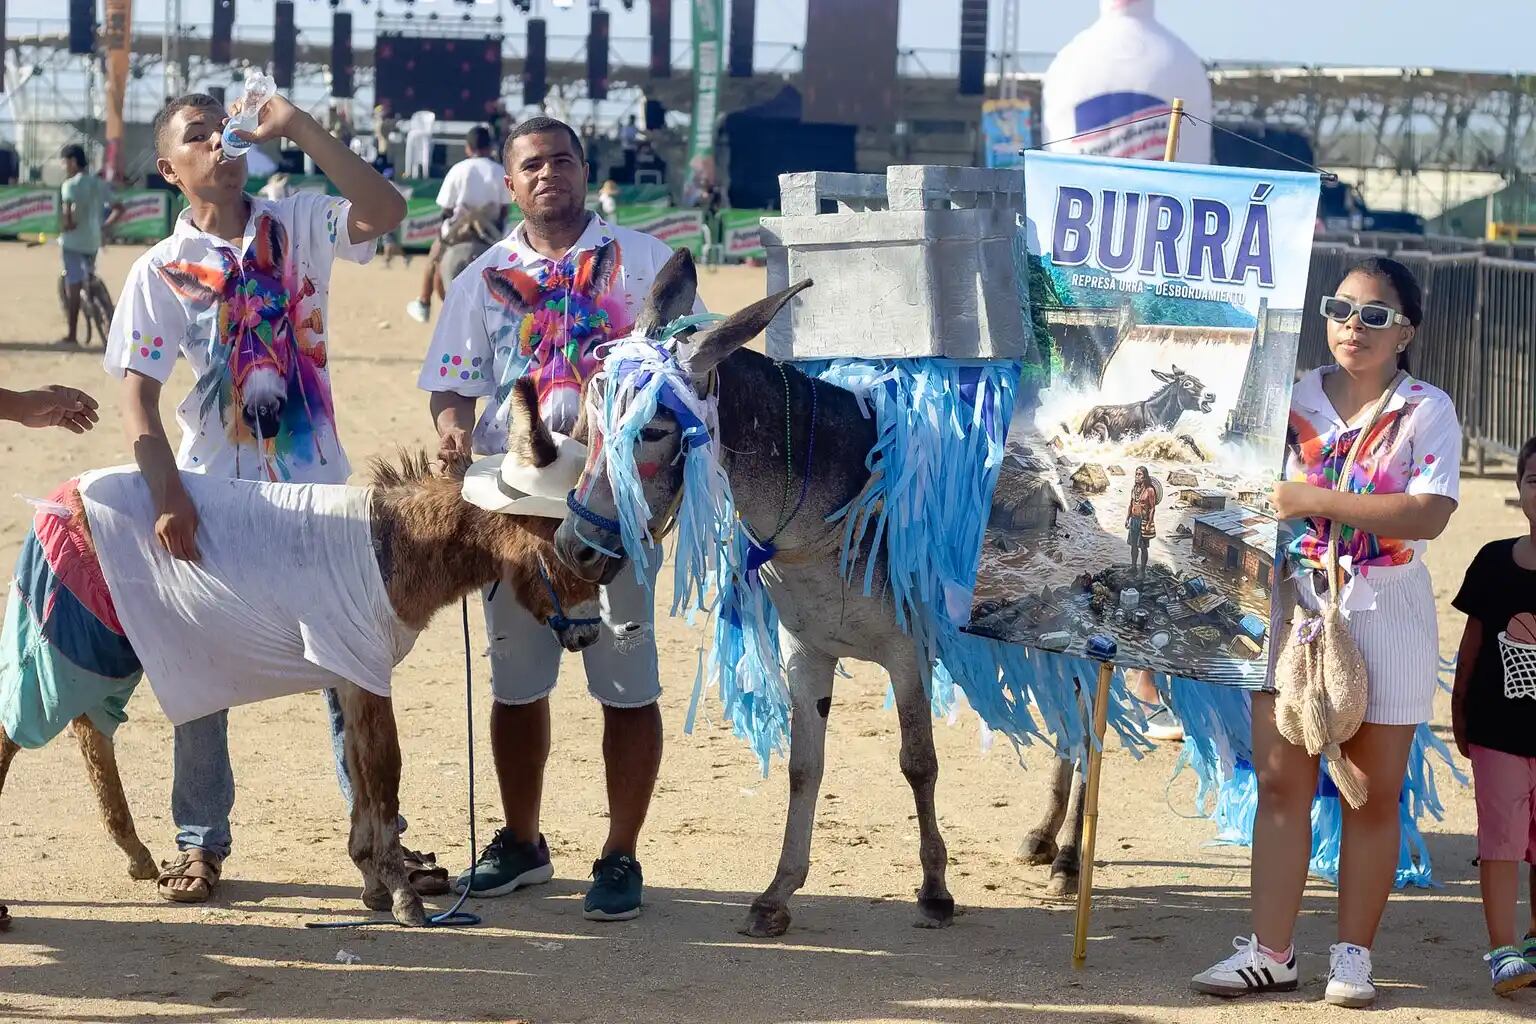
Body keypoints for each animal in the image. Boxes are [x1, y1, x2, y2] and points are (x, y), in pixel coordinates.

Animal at [0, 378, 603, 927]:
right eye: (569, 548)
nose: (589, 636)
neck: (394, 548)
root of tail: (64, 492)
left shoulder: (350, 676)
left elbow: (360, 772)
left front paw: (372, 880)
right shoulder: (365, 670)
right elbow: (385, 773)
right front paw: (401, 895)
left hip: (108, 645)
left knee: (89, 730)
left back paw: (137, 857)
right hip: (83, 635)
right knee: (25, 728)